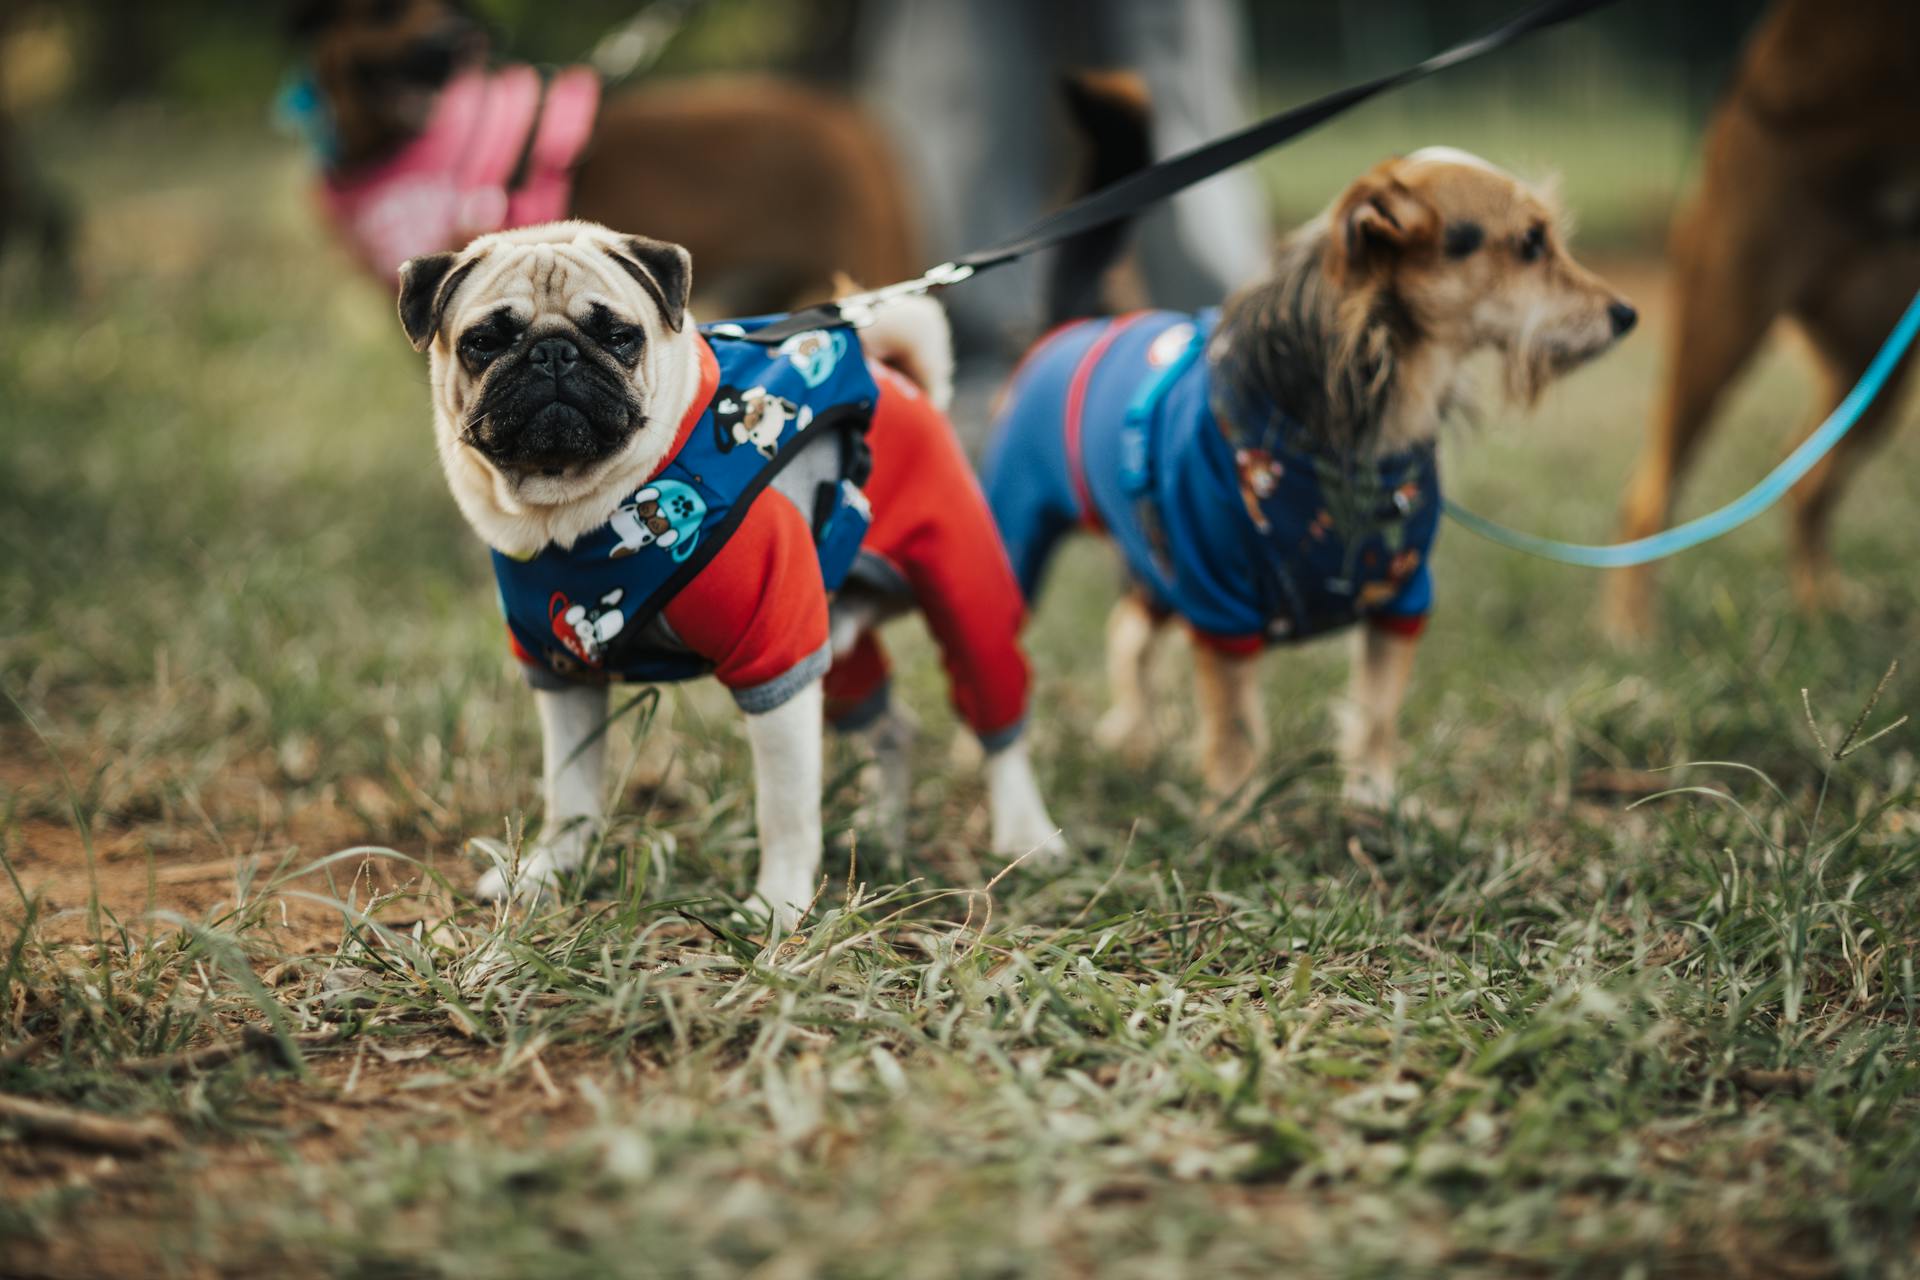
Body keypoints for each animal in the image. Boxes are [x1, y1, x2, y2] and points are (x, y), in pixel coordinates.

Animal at [1605, 0, 1920, 637]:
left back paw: (1824, 610)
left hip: (1880, 364)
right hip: (1723, 319)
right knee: (1649, 498)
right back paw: (1635, 630)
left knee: (1806, 486)